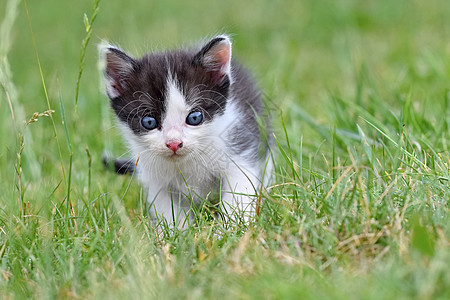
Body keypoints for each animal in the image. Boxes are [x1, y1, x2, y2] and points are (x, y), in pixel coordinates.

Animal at [100, 35, 272, 229]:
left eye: (195, 118)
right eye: (149, 122)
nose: (174, 143)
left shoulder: (239, 146)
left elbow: (239, 193)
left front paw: (229, 229)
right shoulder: (155, 178)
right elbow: (167, 208)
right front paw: (177, 232)